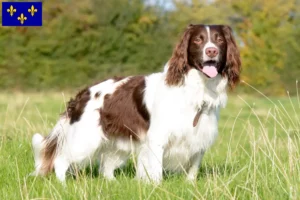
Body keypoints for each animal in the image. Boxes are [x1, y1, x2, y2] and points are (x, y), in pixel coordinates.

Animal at [31, 24, 241, 184]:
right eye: (198, 40)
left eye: (219, 40)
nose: (211, 50)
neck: (197, 89)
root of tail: (83, 94)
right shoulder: (157, 139)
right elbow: (155, 171)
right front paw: (156, 187)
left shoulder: (199, 138)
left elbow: (193, 168)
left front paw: (190, 185)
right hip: (84, 139)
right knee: (60, 160)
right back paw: (63, 185)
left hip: (115, 143)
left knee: (106, 168)